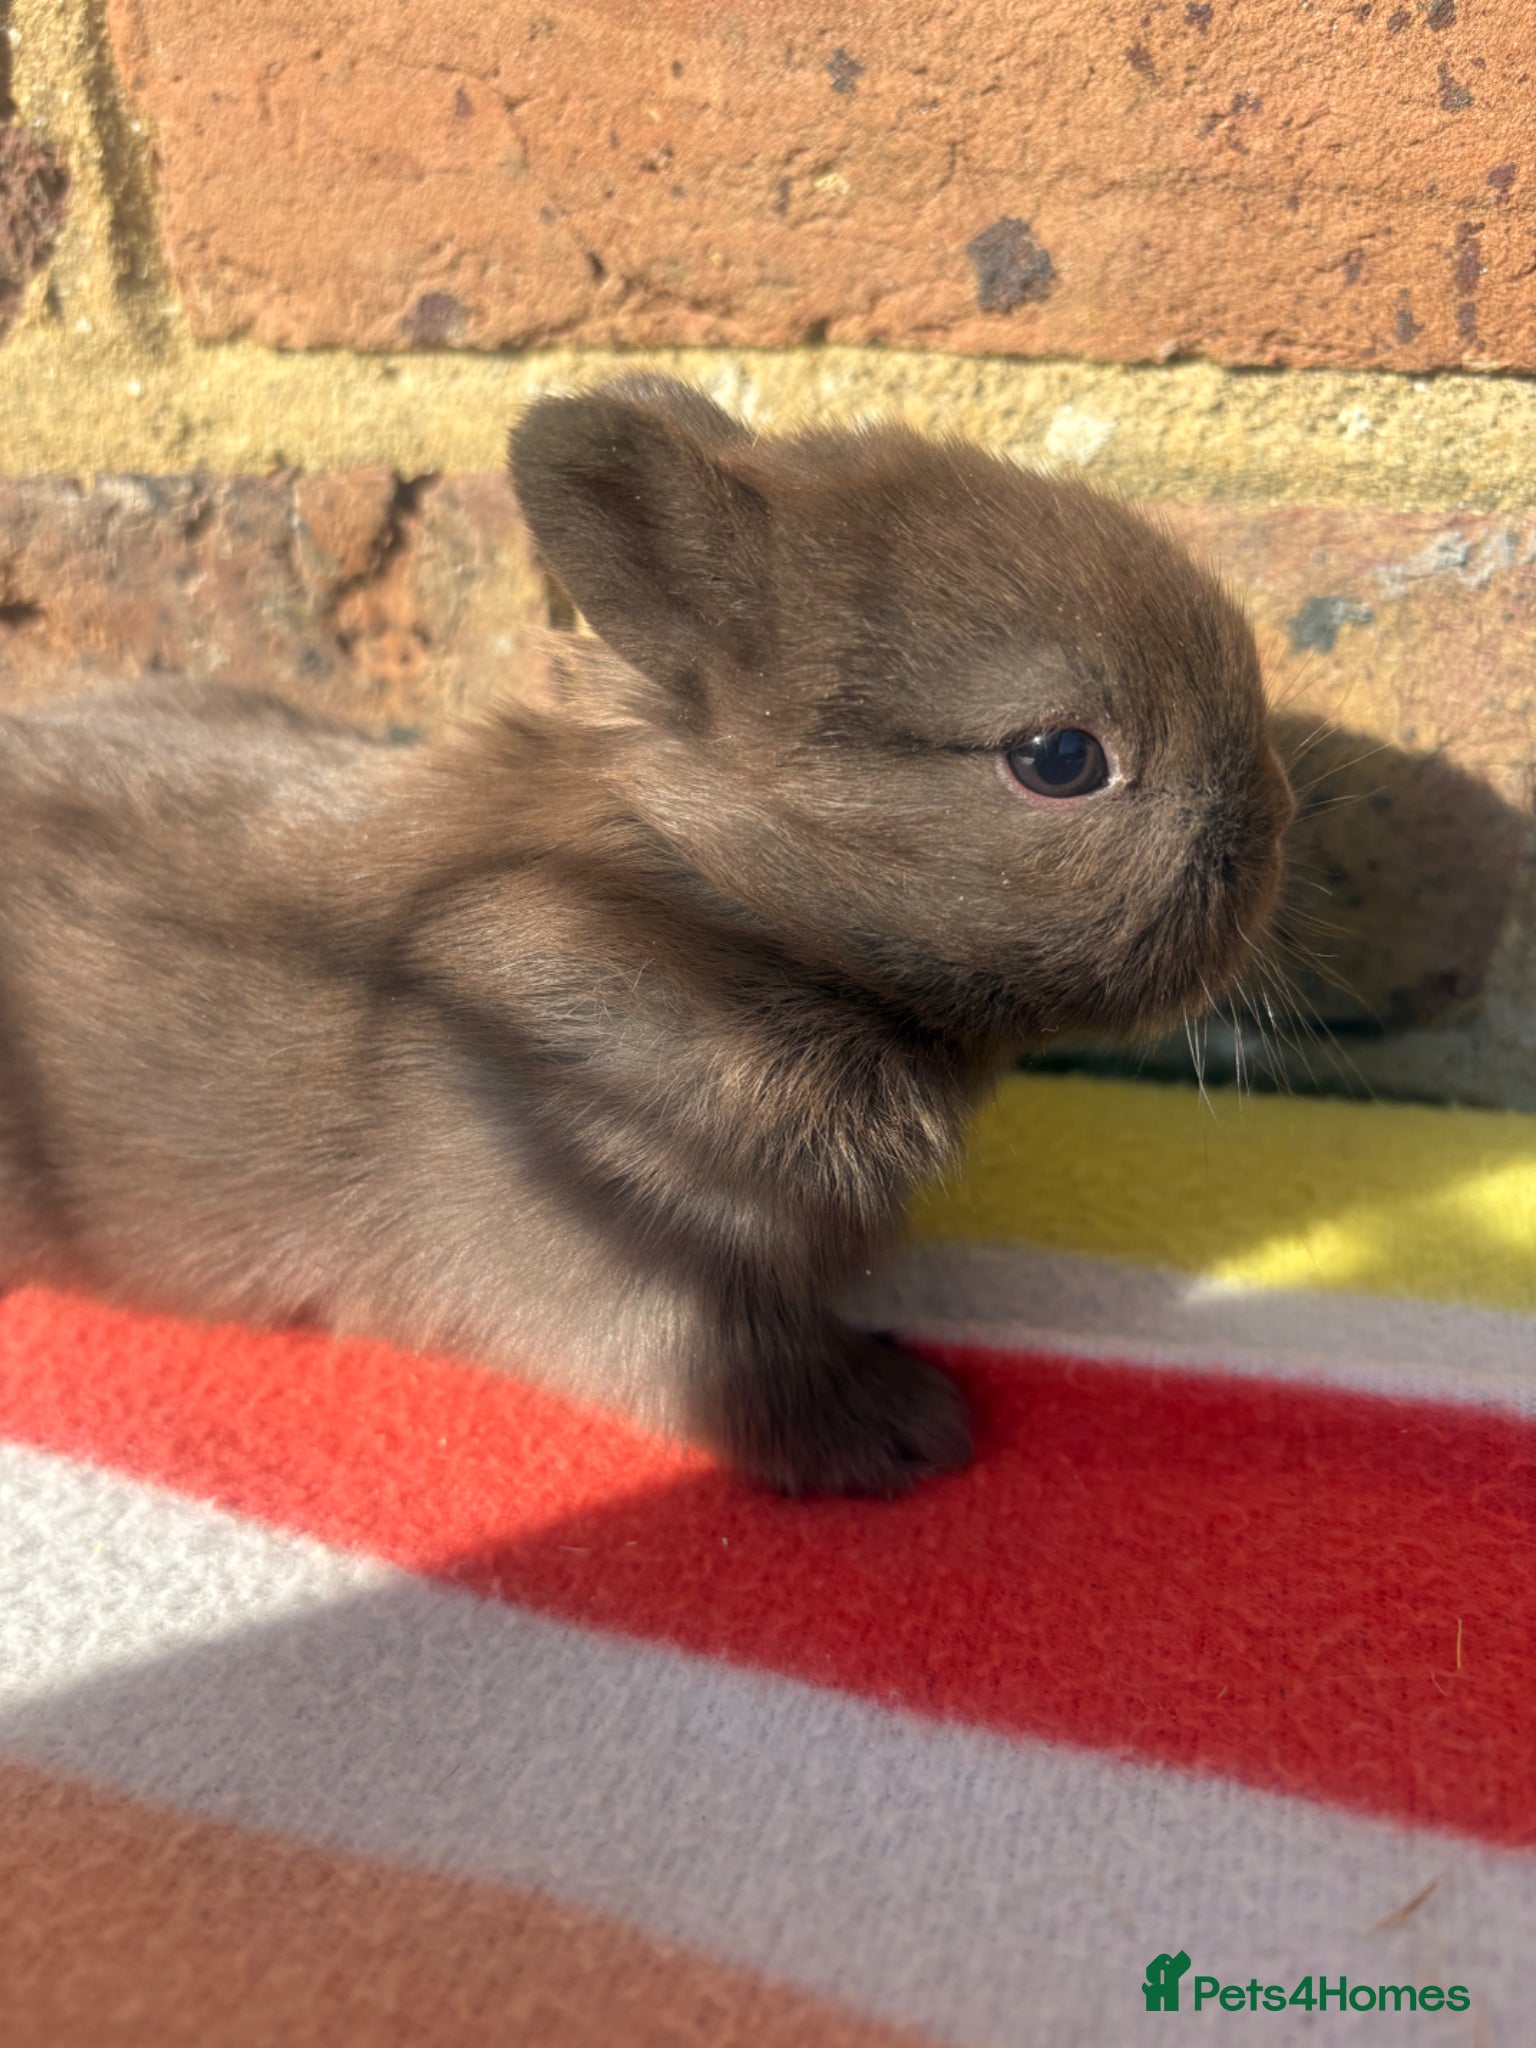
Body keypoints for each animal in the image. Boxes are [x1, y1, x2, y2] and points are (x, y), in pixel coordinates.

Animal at [0, 377, 1293, 1495]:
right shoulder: (633, 1253)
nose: (1277, 822)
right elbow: (731, 1365)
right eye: (1059, 758)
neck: (722, 909)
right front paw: (903, 1426)